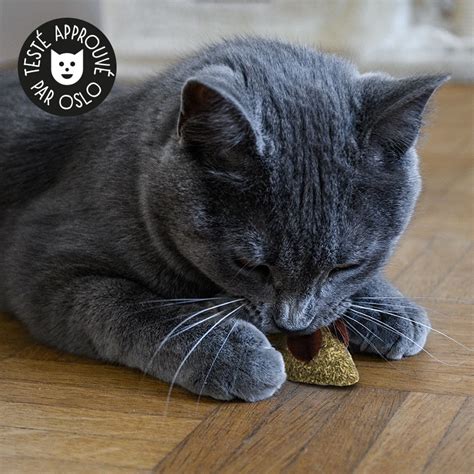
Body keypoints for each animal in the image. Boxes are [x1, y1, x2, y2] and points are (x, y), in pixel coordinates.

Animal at [0, 38, 448, 400]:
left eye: (347, 265)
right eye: (250, 264)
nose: (292, 323)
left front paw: (388, 308)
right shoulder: (42, 264)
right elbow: (134, 303)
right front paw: (229, 355)